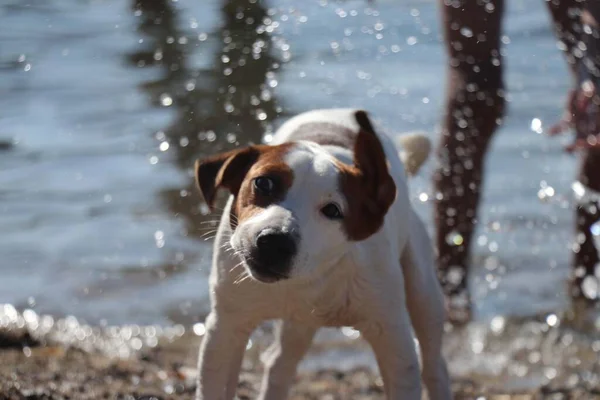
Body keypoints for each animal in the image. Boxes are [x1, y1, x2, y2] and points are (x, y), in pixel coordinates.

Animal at [195, 109, 452, 400]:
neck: (308, 279)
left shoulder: (392, 339)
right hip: (297, 325)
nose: (274, 242)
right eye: (263, 182)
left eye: (332, 210)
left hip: (424, 295)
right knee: (279, 363)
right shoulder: (226, 328)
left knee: (433, 363)